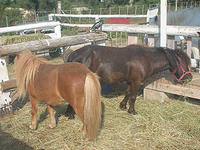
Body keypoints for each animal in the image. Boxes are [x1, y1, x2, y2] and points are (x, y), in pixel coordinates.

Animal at [64, 44, 192, 116]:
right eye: (183, 63)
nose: (189, 77)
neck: (146, 58)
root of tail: (74, 54)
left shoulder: (131, 81)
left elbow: (128, 93)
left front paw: (123, 106)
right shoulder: (136, 81)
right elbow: (133, 97)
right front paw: (132, 111)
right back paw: (70, 114)